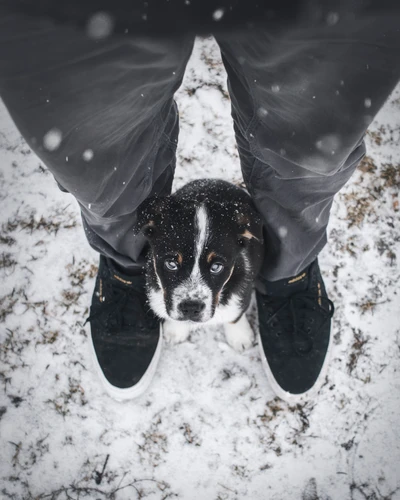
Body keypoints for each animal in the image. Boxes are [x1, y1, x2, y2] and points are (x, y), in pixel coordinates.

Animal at [136, 180, 264, 352]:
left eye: (216, 267)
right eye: (171, 263)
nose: (191, 308)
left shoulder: (243, 286)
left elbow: (235, 314)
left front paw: (240, 336)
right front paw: (176, 331)